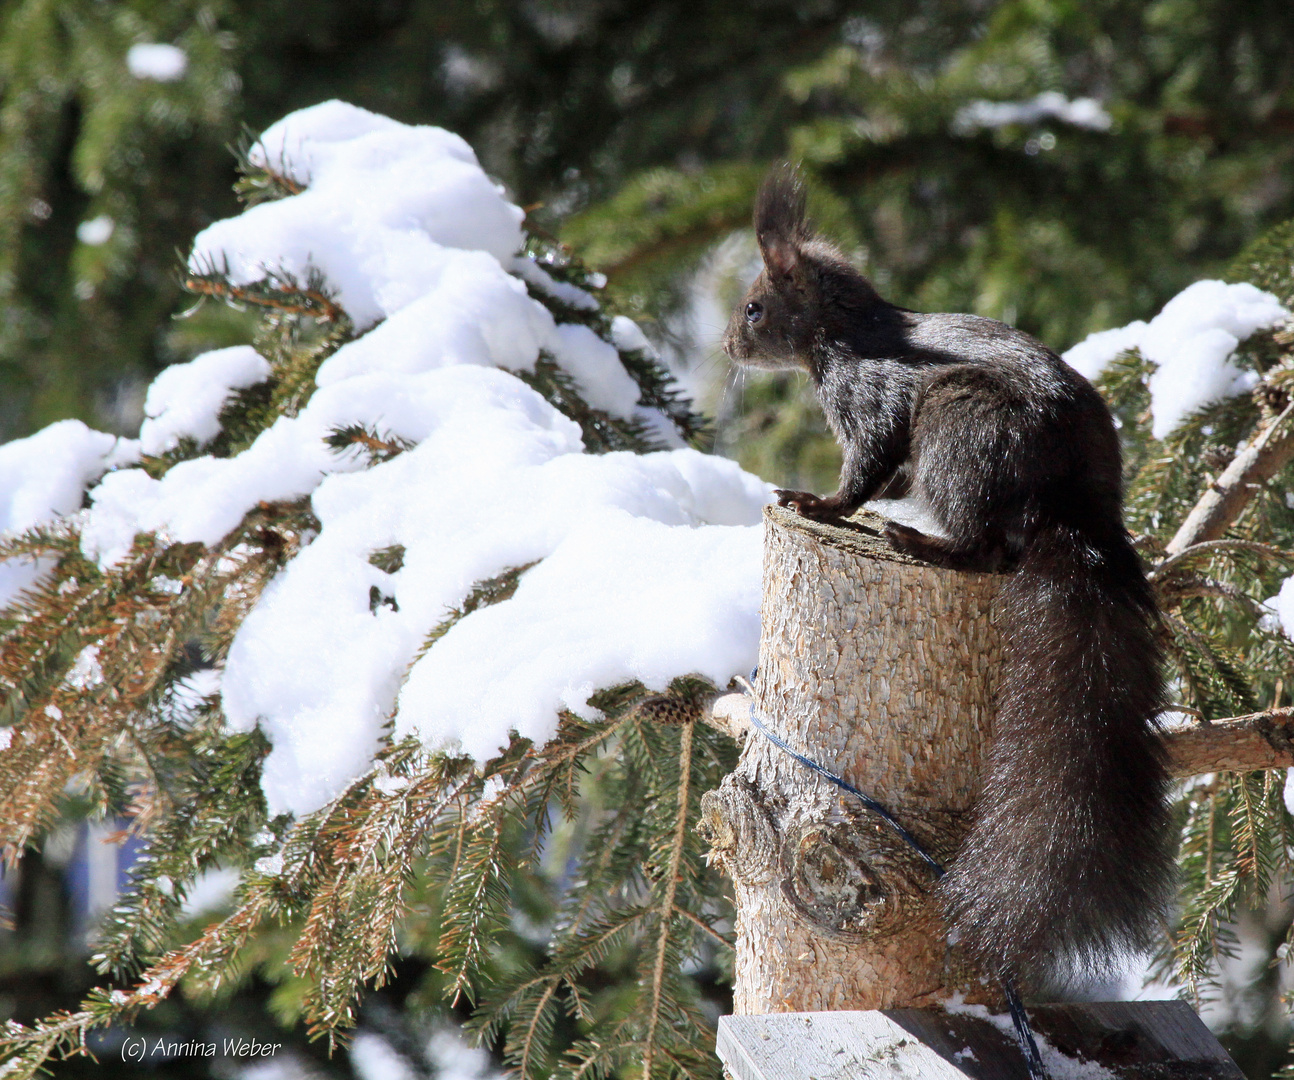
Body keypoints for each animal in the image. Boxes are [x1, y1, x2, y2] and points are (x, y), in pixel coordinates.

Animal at [724, 162, 1180, 988]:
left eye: (754, 306)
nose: (726, 344)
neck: (849, 333)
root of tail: (1080, 504)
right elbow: (888, 473)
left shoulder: (871, 399)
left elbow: (865, 468)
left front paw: (819, 501)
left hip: (960, 428)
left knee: (985, 549)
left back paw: (917, 538)